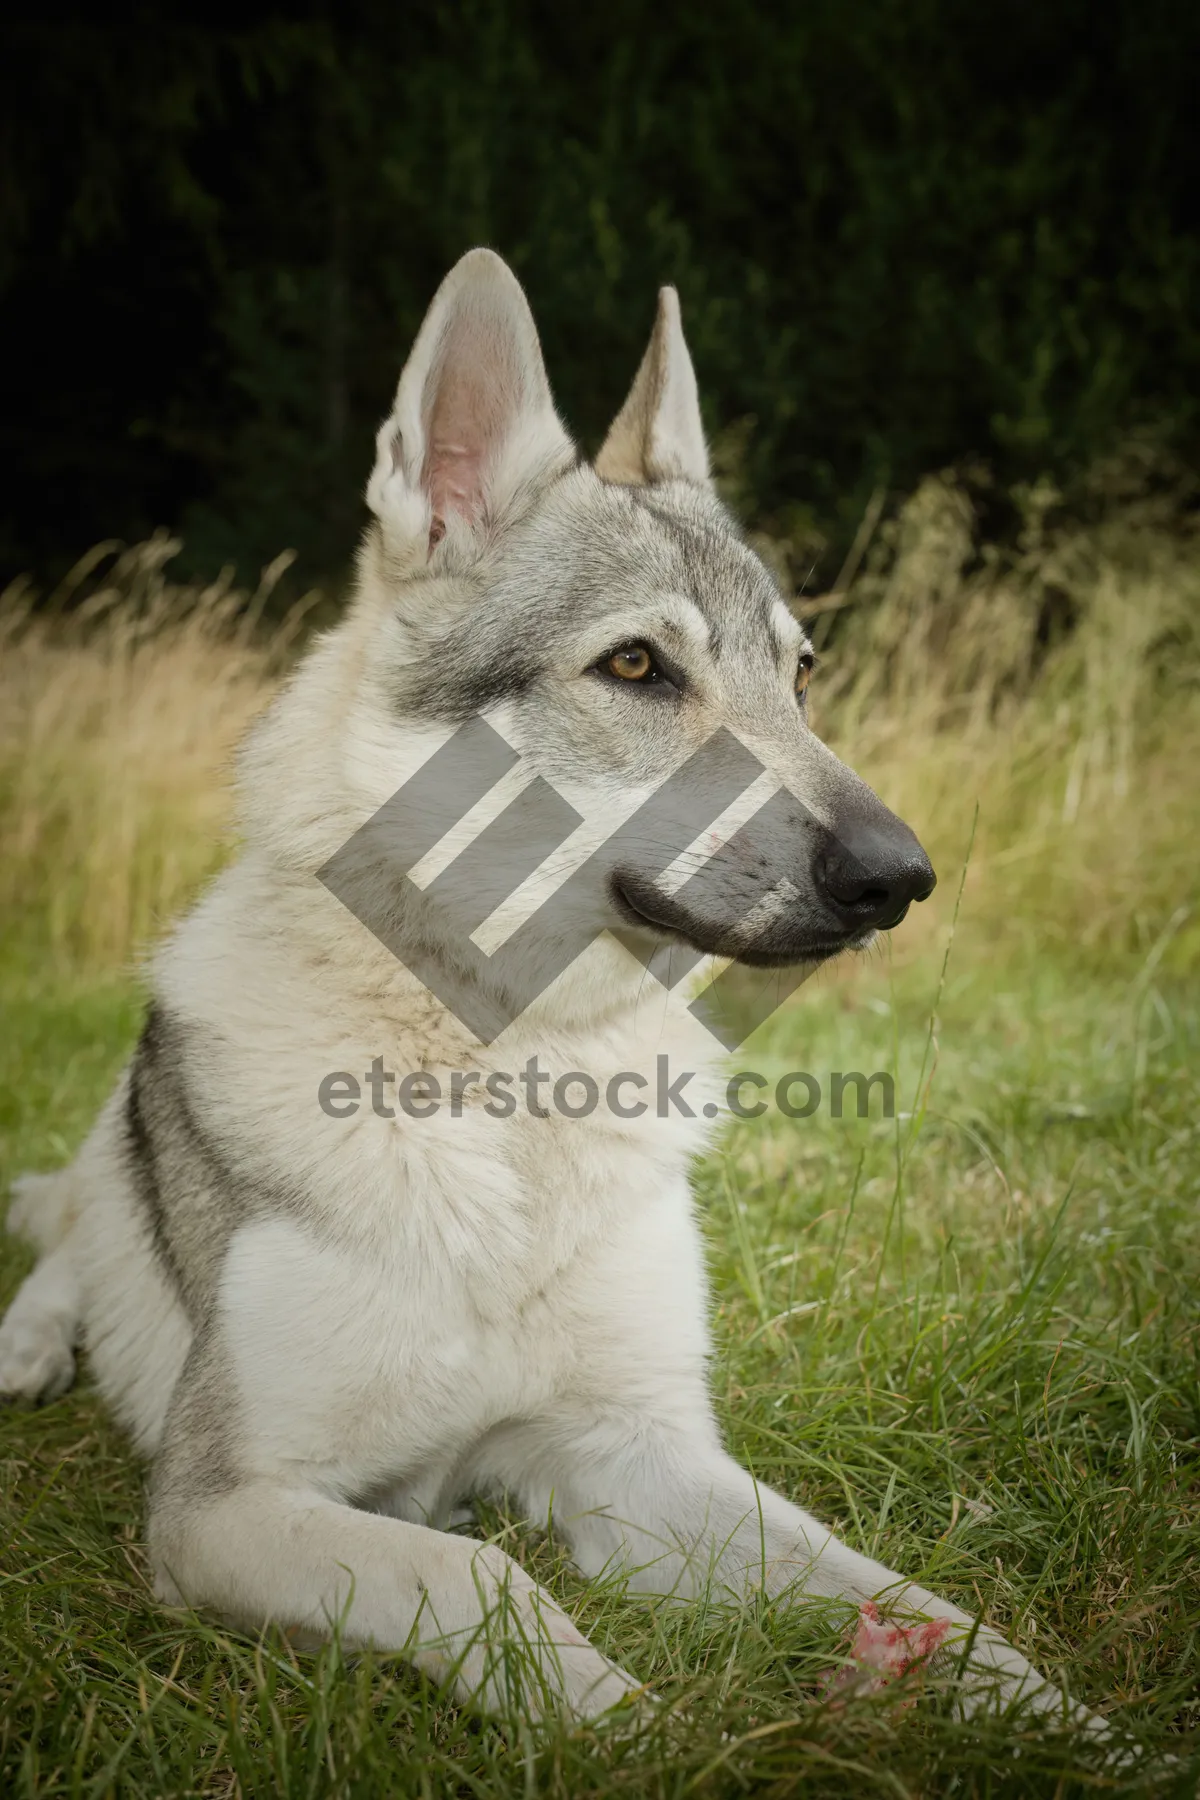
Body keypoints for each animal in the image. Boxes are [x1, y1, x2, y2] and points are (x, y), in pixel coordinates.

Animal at [2, 250, 1108, 1728]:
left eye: (801, 676)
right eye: (636, 666)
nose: (902, 878)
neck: (514, 1080)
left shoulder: (641, 1455)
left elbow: (928, 1606)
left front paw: (1079, 1734)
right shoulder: (219, 1505)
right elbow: (483, 1578)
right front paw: (647, 1732)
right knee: (64, 1234)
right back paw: (29, 1346)